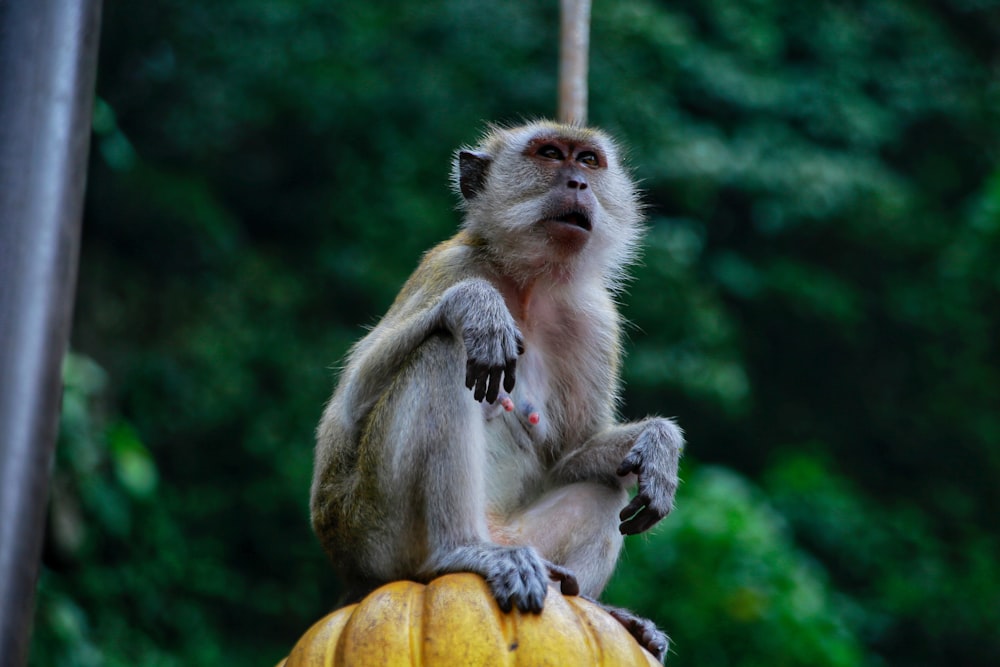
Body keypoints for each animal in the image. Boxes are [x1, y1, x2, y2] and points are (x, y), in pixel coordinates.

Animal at [312, 121, 684, 664]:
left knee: (608, 484)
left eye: (588, 160)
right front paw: (479, 306)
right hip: (373, 530)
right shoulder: (449, 264)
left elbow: (567, 454)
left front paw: (659, 443)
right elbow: (350, 405)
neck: (527, 283)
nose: (578, 183)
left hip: (522, 536)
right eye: (549, 154)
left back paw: (594, 603)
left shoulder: (594, 319)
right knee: (444, 353)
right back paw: (460, 551)